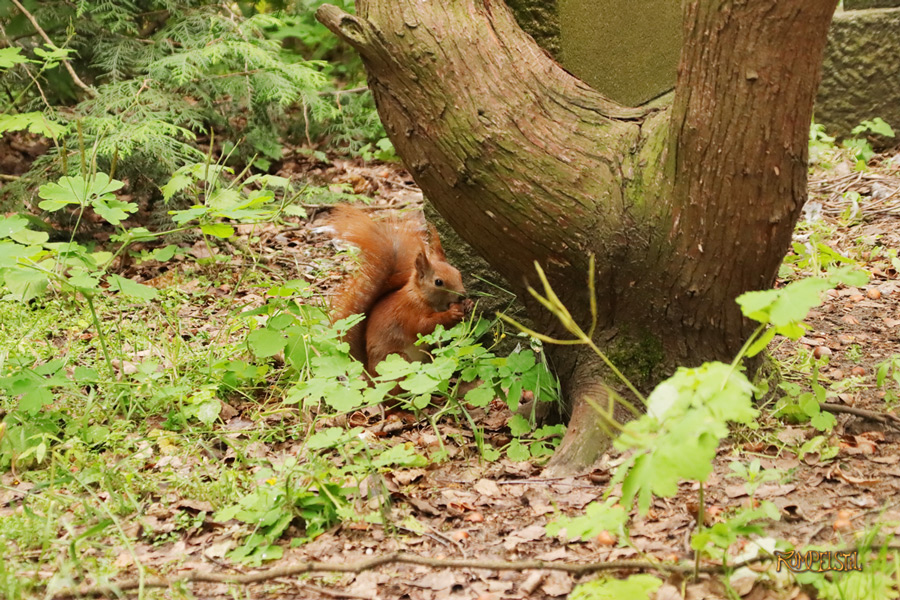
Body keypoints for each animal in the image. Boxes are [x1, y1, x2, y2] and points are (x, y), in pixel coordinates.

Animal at [328, 204, 472, 374]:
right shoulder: (407, 312)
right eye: (438, 282)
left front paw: (468, 304)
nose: (462, 295)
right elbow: (423, 326)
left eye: (458, 273)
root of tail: (370, 374)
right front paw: (452, 313)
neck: (422, 296)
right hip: (397, 359)